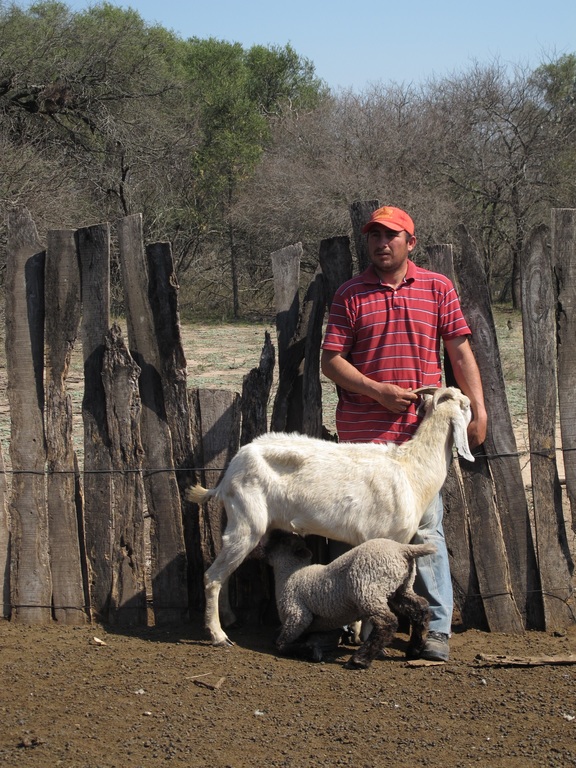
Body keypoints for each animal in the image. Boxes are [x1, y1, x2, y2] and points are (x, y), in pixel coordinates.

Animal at [187, 388, 474, 644]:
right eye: (467, 405)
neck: (410, 470)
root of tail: (228, 474)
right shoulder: (382, 539)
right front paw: (364, 636)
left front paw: (354, 632)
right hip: (247, 522)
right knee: (212, 577)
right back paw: (218, 635)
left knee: (223, 572)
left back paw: (229, 619)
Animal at [262, 532, 436, 668]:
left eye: (283, 541)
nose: (264, 541)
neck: (289, 574)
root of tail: (403, 549)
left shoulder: (297, 615)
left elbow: (281, 644)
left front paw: (308, 650)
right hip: (401, 588)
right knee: (421, 609)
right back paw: (415, 649)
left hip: (367, 589)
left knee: (387, 622)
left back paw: (359, 660)